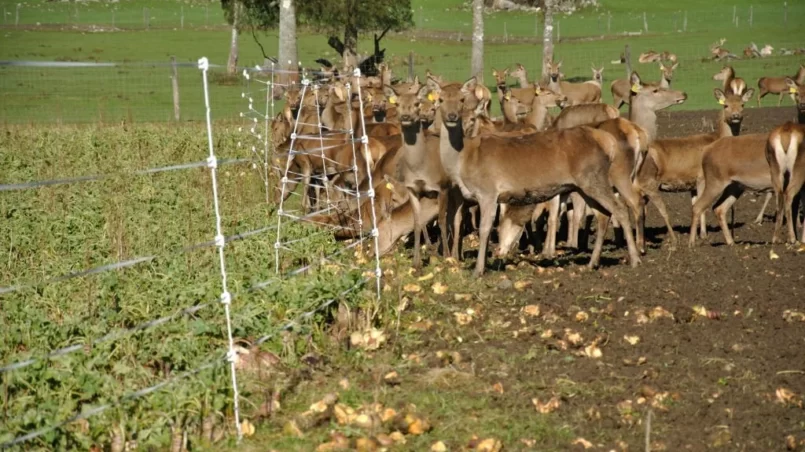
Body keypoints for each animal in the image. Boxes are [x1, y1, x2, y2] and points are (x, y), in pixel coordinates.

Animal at [434, 76, 640, 276]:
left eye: (461, 99)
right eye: (440, 99)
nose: (452, 116)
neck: (462, 160)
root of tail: (609, 142)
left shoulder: (488, 192)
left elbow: (485, 228)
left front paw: (478, 270)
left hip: (594, 178)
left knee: (621, 208)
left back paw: (635, 260)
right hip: (584, 185)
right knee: (603, 215)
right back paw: (592, 263)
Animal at [636, 86, 752, 249]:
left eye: (742, 104)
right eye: (726, 105)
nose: (736, 116)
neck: (717, 138)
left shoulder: (692, 183)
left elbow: (694, 204)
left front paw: (697, 235)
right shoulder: (701, 176)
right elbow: (702, 207)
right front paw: (703, 236)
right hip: (649, 181)